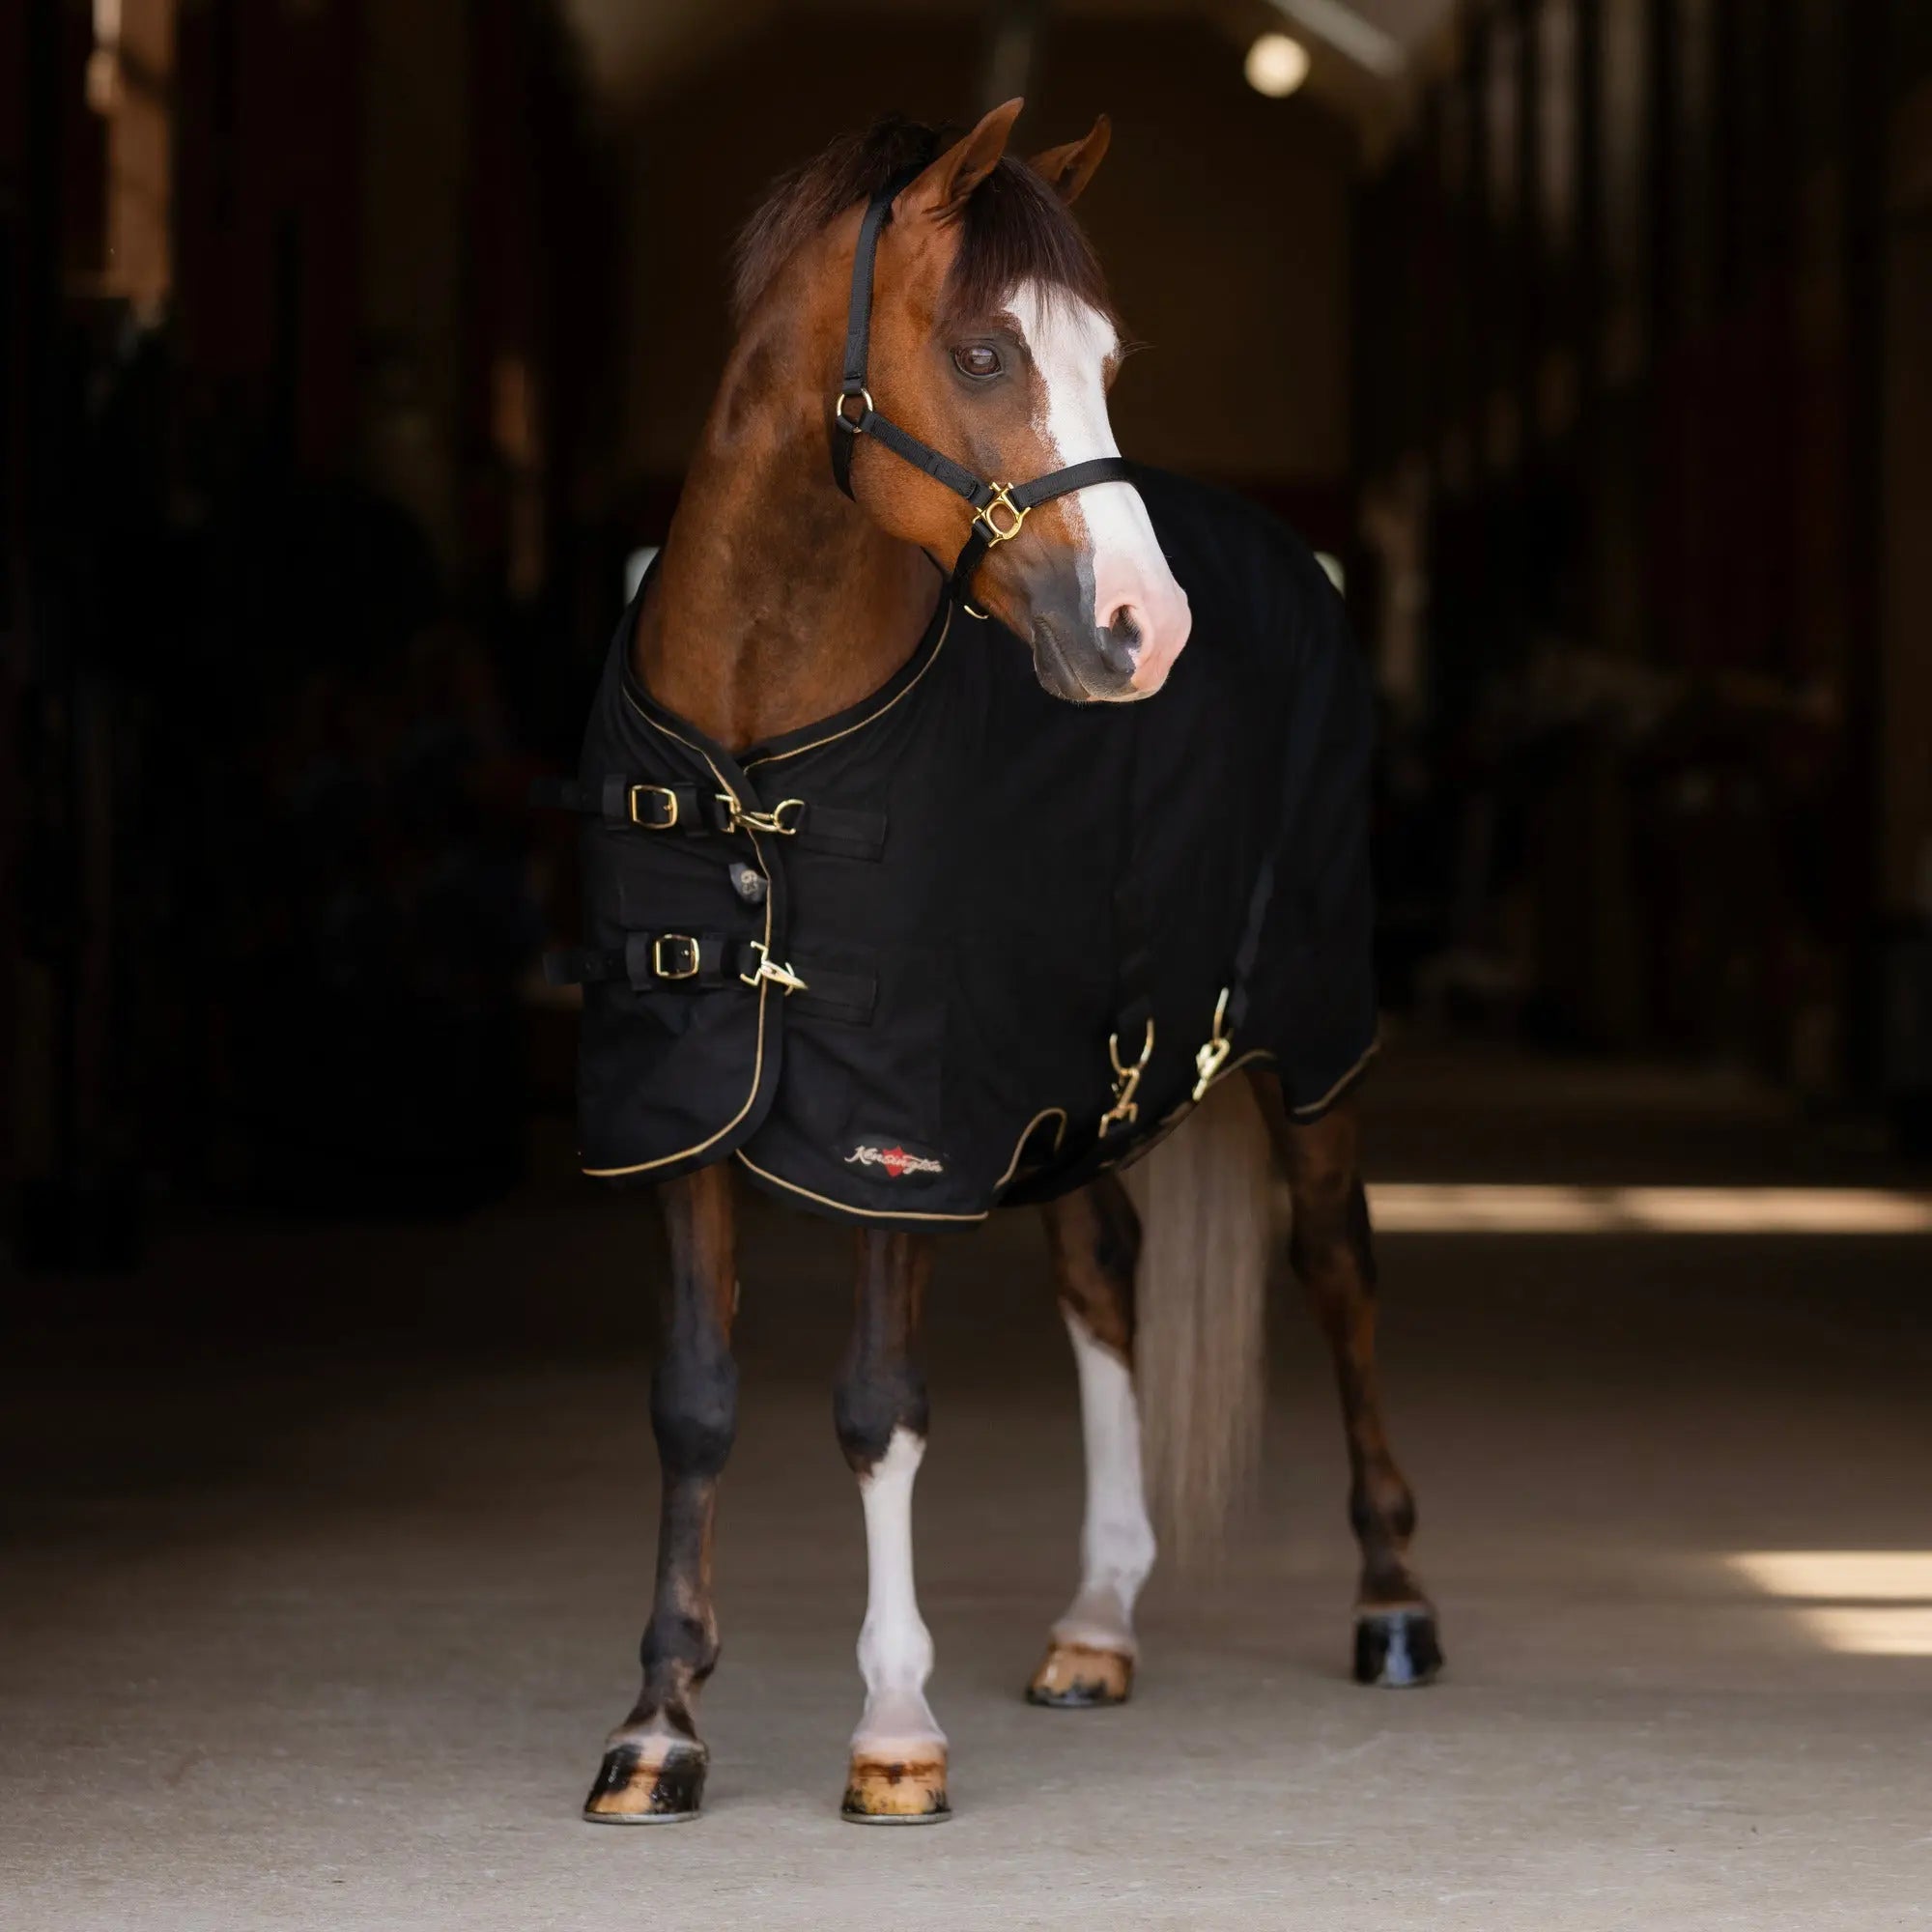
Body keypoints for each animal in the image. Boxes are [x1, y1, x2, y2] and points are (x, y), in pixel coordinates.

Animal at [554, 100, 1439, 1826]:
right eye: (979, 353)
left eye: (1105, 354)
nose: (1143, 629)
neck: (760, 749)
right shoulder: (684, 1109)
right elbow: (694, 1404)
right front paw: (658, 1727)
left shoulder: (901, 1132)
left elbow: (879, 1412)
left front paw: (896, 1733)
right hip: (1088, 1075)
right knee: (1106, 1282)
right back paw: (1095, 1626)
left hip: (1309, 1047)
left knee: (1339, 1270)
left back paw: (1392, 1607)